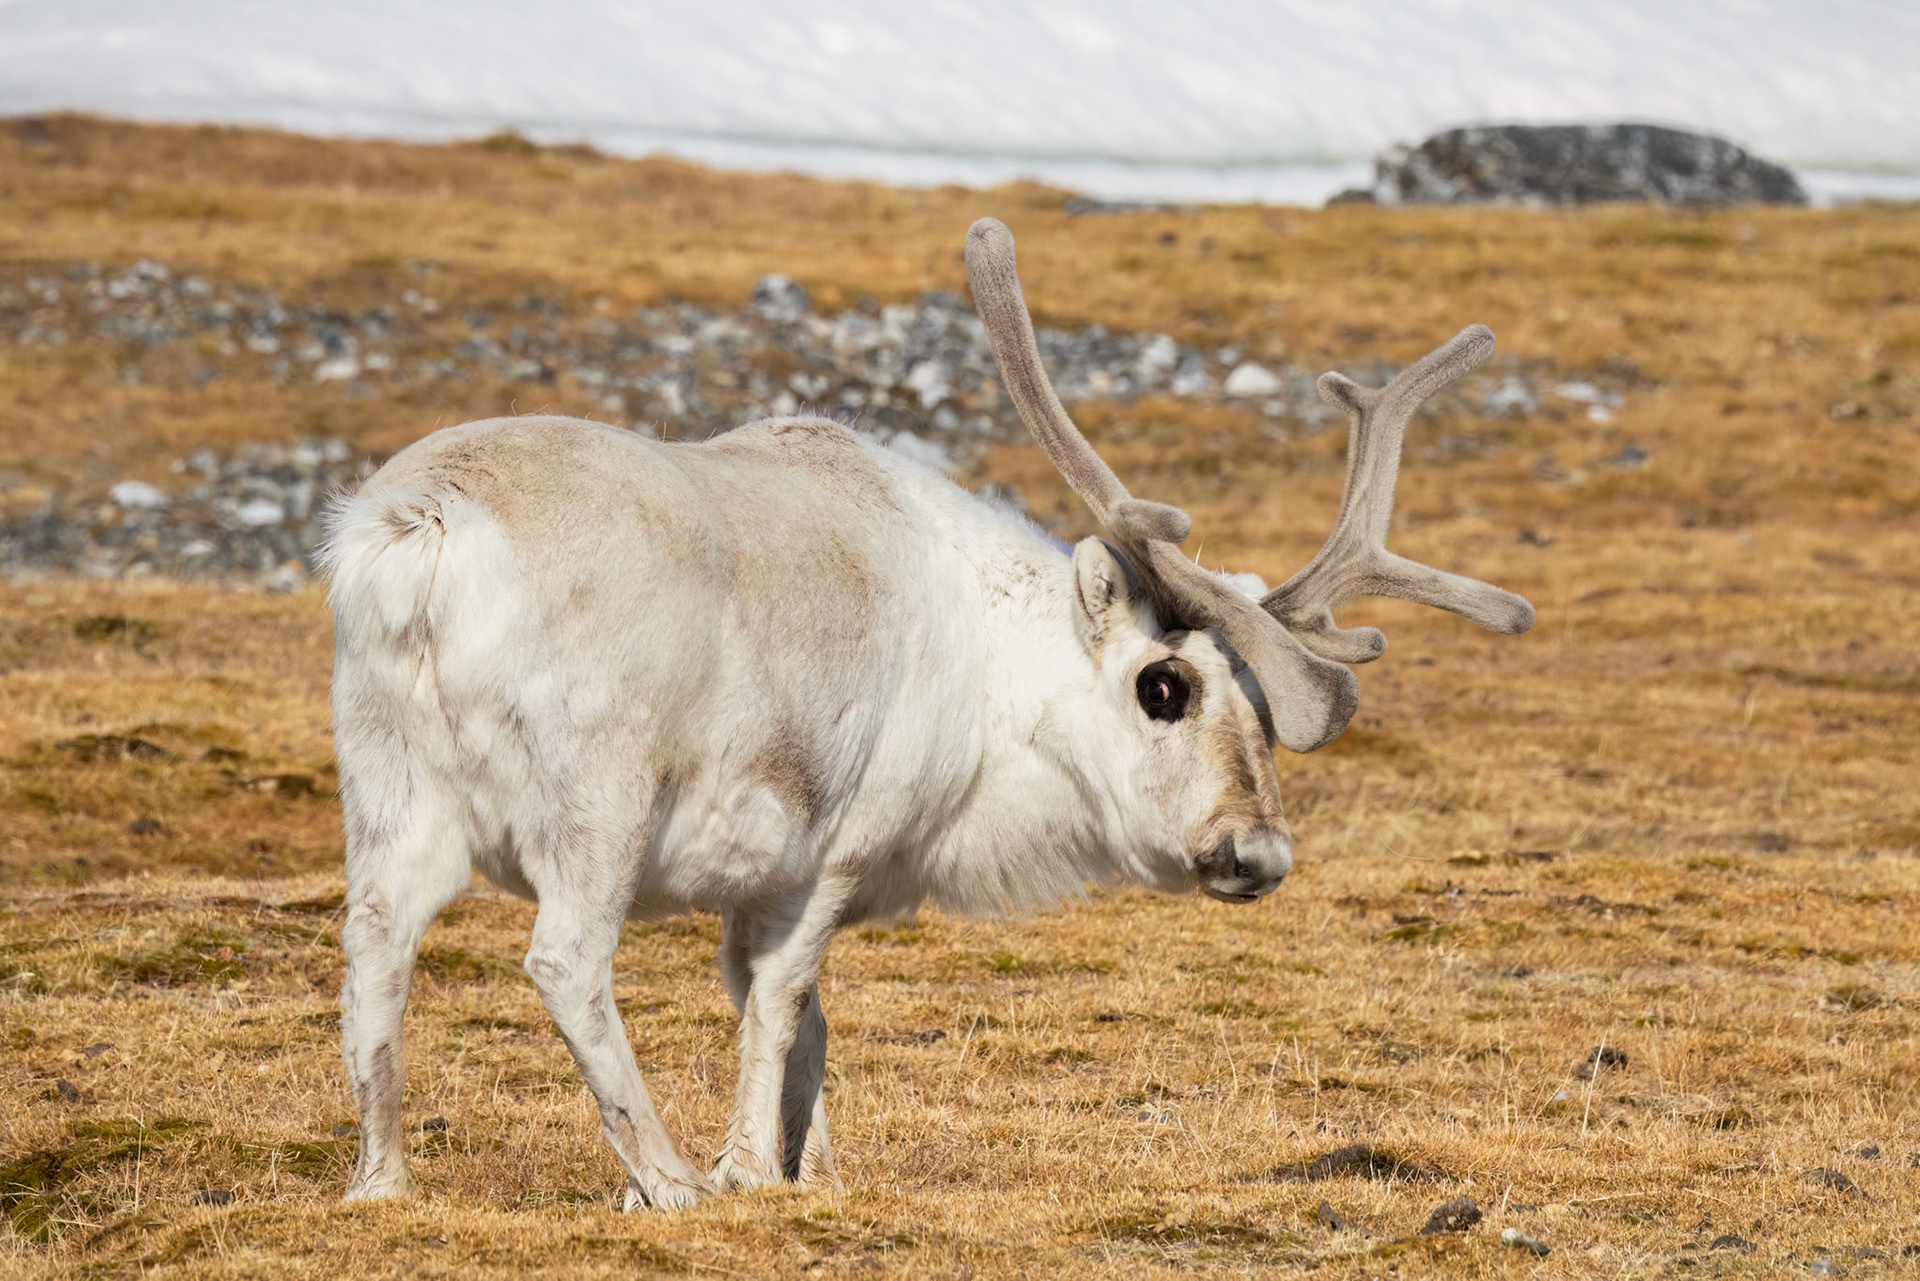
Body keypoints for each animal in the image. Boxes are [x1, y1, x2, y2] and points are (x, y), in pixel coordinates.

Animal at [320, 217, 1535, 1210]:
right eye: (1164, 686)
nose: (1258, 852)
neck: (994, 691)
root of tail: (421, 532)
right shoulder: (840, 842)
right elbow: (780, 998)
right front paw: (746, 1169)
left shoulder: (764, 878)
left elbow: (794, 1013)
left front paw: (818, 1171)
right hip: (599, 794)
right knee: (565, 960)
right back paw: (664, 1179)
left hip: (387, 775)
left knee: (376, 936)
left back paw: (383, 1181)